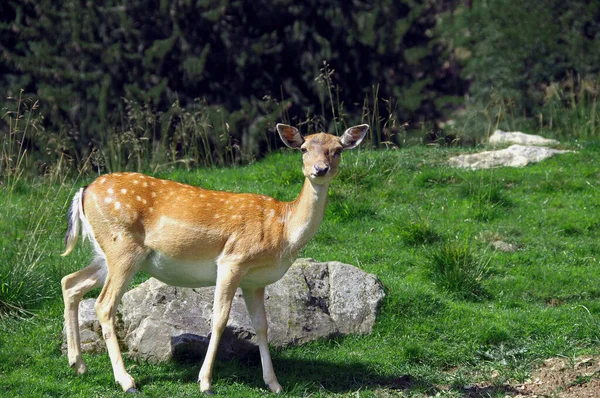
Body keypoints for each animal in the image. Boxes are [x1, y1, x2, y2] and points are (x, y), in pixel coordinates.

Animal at [62, 123, 370, 394]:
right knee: (104, 304)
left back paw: (78, 364)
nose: (320, 169)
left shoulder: (255, 281)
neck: (283, 232)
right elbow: (219, 319)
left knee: (70, 282)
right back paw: (126, 381)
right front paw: (205, 382)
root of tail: (83, 191)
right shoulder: (232, 260)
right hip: (123, 248)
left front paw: (274, 384)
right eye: (304, 149)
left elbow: (262, 325)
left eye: (337, 149)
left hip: (107, 253)